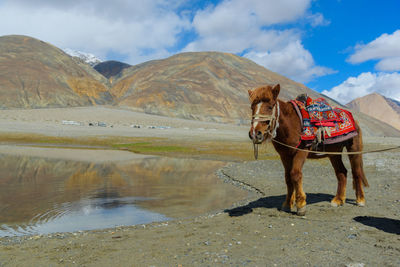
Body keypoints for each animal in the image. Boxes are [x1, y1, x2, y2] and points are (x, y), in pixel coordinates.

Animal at [250, 85, 368, 217]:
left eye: (270, 107)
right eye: (252, 108)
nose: (255, 133)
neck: (291, 124)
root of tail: (354, 120)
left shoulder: (301, 152)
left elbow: (295, 174)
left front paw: (301, 205)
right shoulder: (284, 155)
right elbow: (288, 178)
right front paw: (287, 204)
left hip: (354, 149)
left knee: (356, 172)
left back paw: (360, 200)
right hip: (334, 153)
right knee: (341, 172)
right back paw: (338, 200)